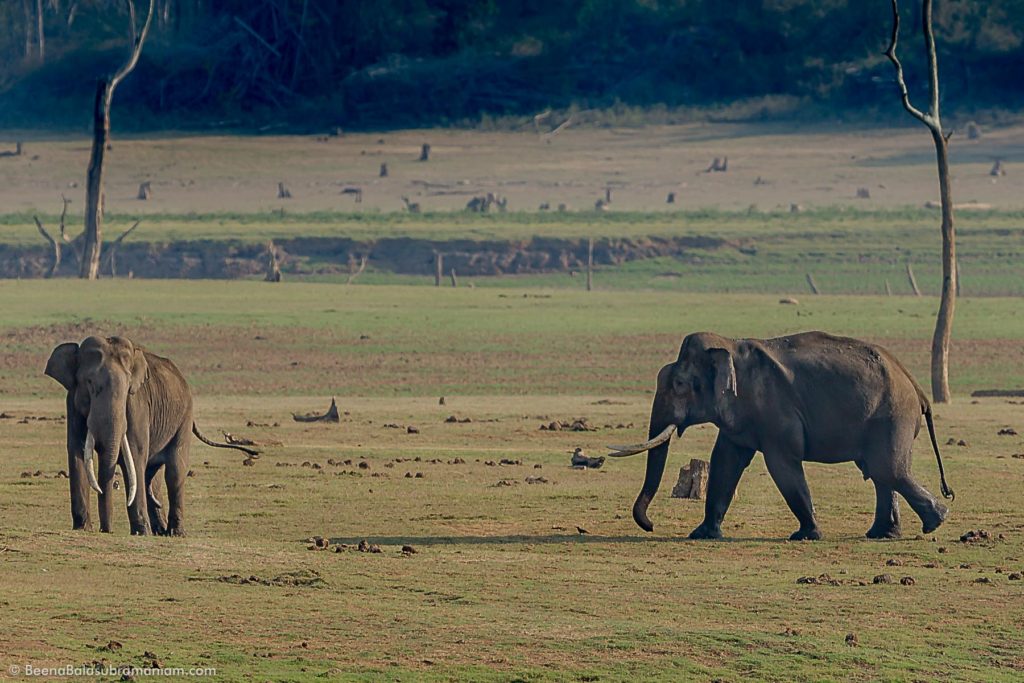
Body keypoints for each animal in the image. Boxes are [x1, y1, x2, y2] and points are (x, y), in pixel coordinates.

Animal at [47, 335, 260, 532]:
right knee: (152, 475)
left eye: (127, 387)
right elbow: (77, 451)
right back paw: (159, 530)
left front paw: (141, 532)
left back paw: (174, 532)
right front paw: (82, 529)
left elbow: (134, 454)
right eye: (89, 382)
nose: (106, 530)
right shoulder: (72, 402)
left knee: (174, 471)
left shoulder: (137, 404)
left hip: (185, 416)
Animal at [606, 333, 950, 540]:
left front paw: (807, 535)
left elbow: (782, 464)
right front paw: (702, 534)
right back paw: (882, 533)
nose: (650, 526)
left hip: (892, 415)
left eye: (679, 384)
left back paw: (936, 520)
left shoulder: (775, 413)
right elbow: (725, 462)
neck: (731, 345)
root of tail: (916, 386)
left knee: (886, 469)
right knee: (880, 473)